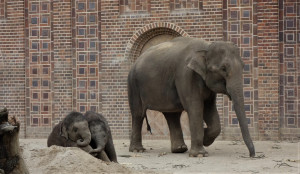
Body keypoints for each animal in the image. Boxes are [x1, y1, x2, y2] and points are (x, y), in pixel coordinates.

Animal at [127, 36, 255, 158]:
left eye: (243, 66)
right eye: (223, 68)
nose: (252, 155)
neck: (207, 46)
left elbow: (209, 109)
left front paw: (205, 138)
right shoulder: (186, 75)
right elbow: (195, 107)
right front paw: (200, 154)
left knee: (172, 115)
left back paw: (179, 149)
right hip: (133, 85)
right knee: (138, 114)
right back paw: (138, 150)